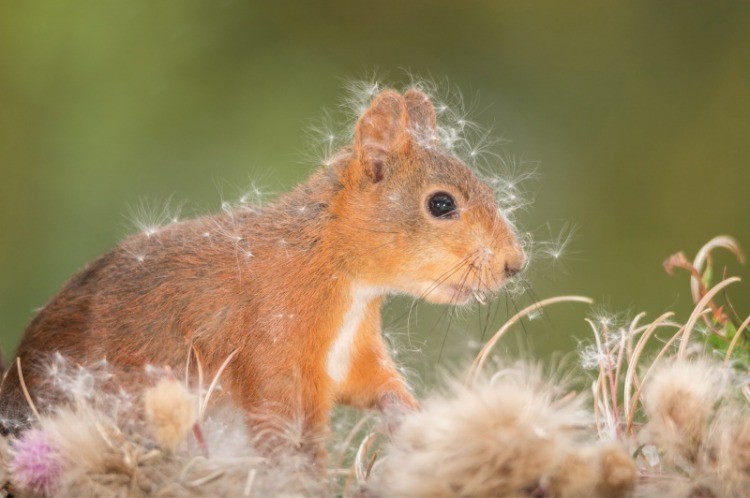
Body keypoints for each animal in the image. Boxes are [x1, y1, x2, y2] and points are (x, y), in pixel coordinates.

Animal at [0, 87, 528, 454]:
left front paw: (413, 420)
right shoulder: (273, 353)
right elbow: (288, 442)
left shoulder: (353, 358)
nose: (515, 264)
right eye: (441, 204)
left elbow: (380, 387)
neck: (339, 277)